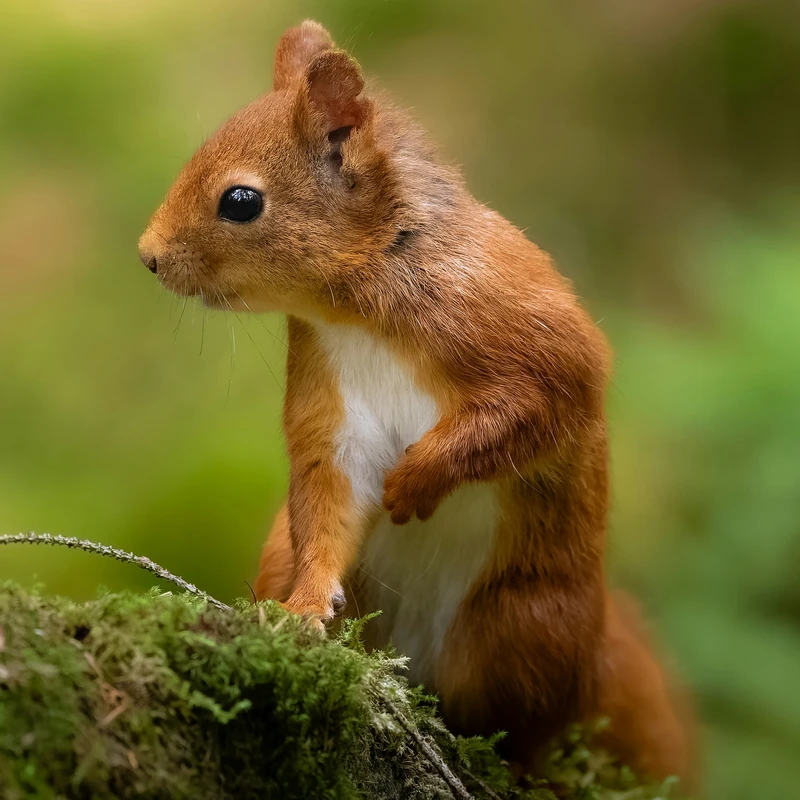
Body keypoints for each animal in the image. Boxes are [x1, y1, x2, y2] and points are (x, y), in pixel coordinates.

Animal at [138, 20, 694, 783]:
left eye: (241, 201)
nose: (148, 255)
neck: (359, 304)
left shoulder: (527, 333)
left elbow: (529, 410)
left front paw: (418, 480)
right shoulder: (335, 406)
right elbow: (330, 496)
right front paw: (303, 608)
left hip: (525, 625)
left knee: (527, 728)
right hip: (299, 559)